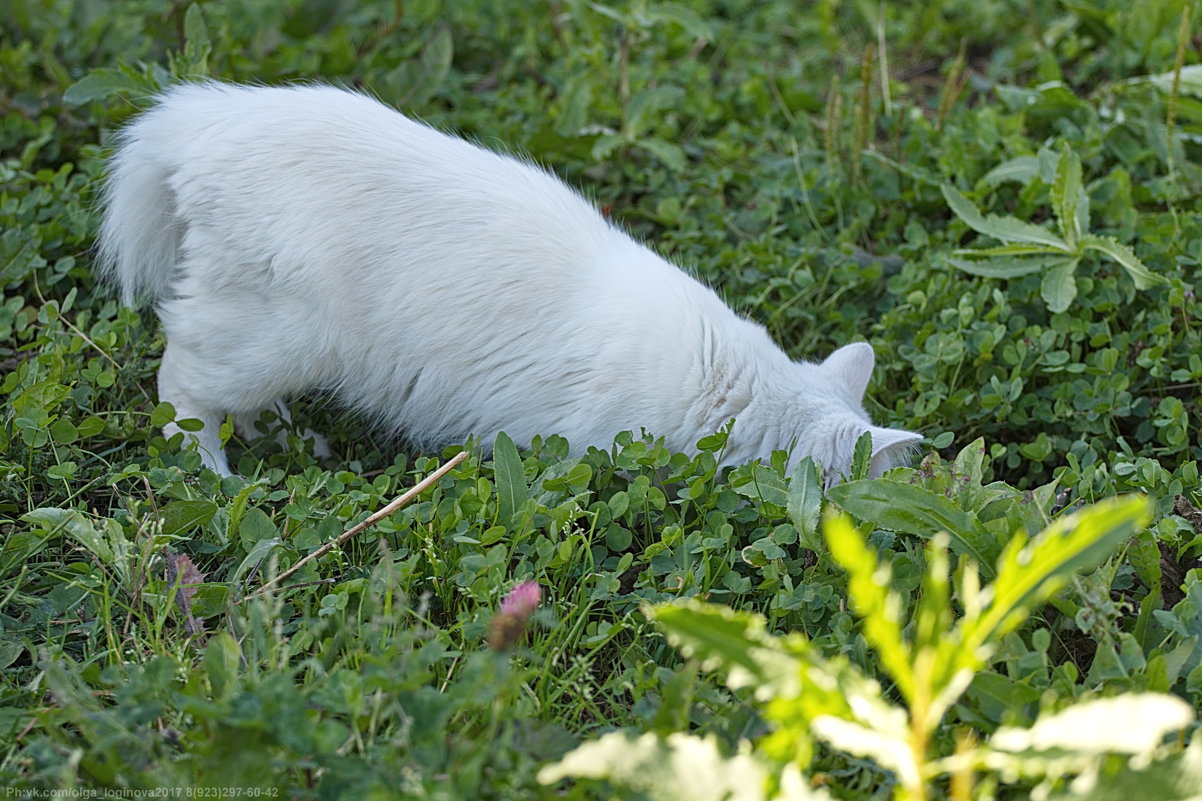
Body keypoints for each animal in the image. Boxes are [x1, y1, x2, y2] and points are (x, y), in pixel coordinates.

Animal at [98, 82, 918, 473]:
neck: (731, 388)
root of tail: (203, 117)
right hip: (272, 338)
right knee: (181, 386)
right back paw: (213, 473)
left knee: (232, 398)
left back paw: (290, 440)